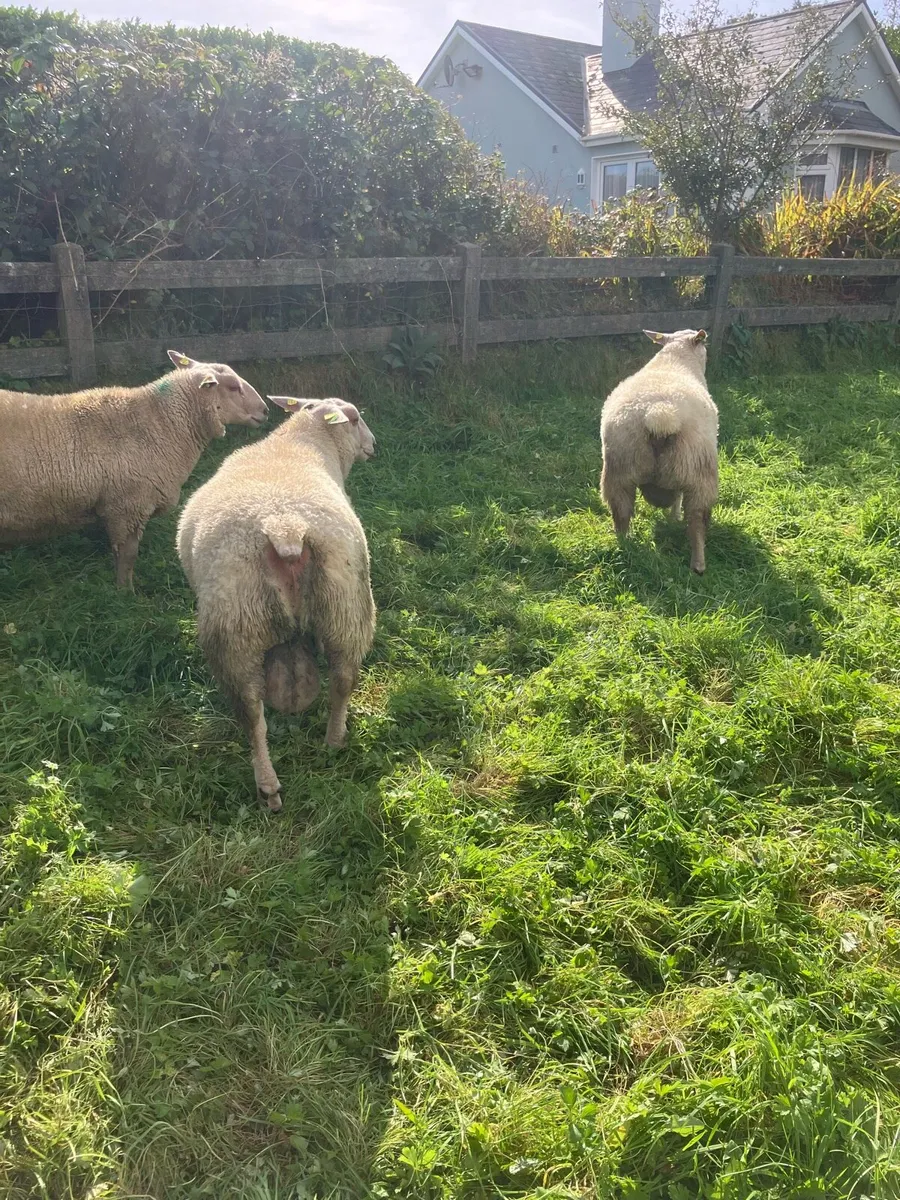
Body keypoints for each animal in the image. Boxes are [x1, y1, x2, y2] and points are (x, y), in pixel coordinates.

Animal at [0, 350, 268, 589]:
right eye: (233, 387)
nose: (265, 410)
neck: (162, 425)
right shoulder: (127, 506)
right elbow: (127, 556)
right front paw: (125, 593)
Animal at [176, 395, 377, 811]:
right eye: (355, 419)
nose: (374, 445)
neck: (299, 444)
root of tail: (286, 528)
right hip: (345, 605)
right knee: (342, 680)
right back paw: (333, 742)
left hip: (236, 623)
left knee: (252, 714)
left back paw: (268, 785)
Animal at [600, 328, 718, 574]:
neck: (675, 360)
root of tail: (660, 414)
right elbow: (678, 499)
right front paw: (674, 518)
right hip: (698, 471)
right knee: (697, 521)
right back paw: (698, 565)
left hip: (619, 469)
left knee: (621, 513)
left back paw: (625, 547)